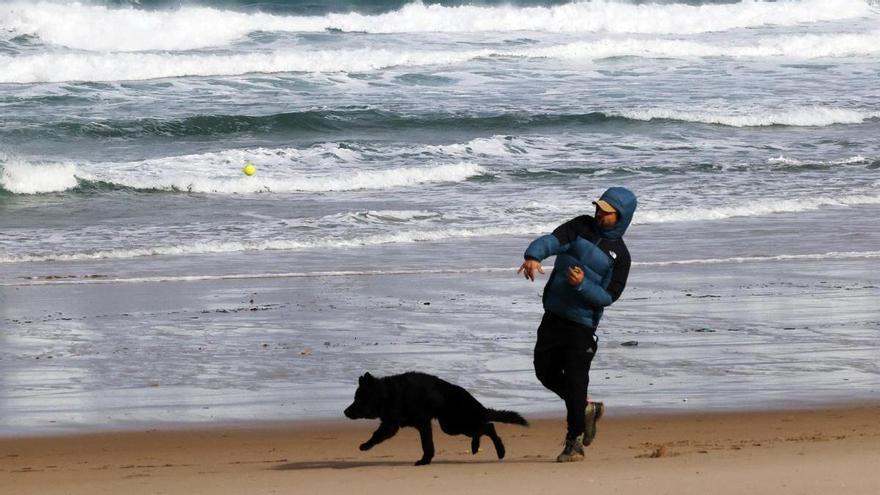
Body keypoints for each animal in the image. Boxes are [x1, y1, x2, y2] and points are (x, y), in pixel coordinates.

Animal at [342, 372, 524, 464]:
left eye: (359, 399)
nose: (345, 412)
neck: (388, 394)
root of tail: (477, 404)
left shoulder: (399, 424)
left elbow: (378, 435)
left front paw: (365, 445)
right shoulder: (419, 424)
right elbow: (427, 443)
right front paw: (426, 459)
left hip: (454, 424)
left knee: (488, 426)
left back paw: (500, 451)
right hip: (452, 425)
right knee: (482, 428)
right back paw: (476, 447)